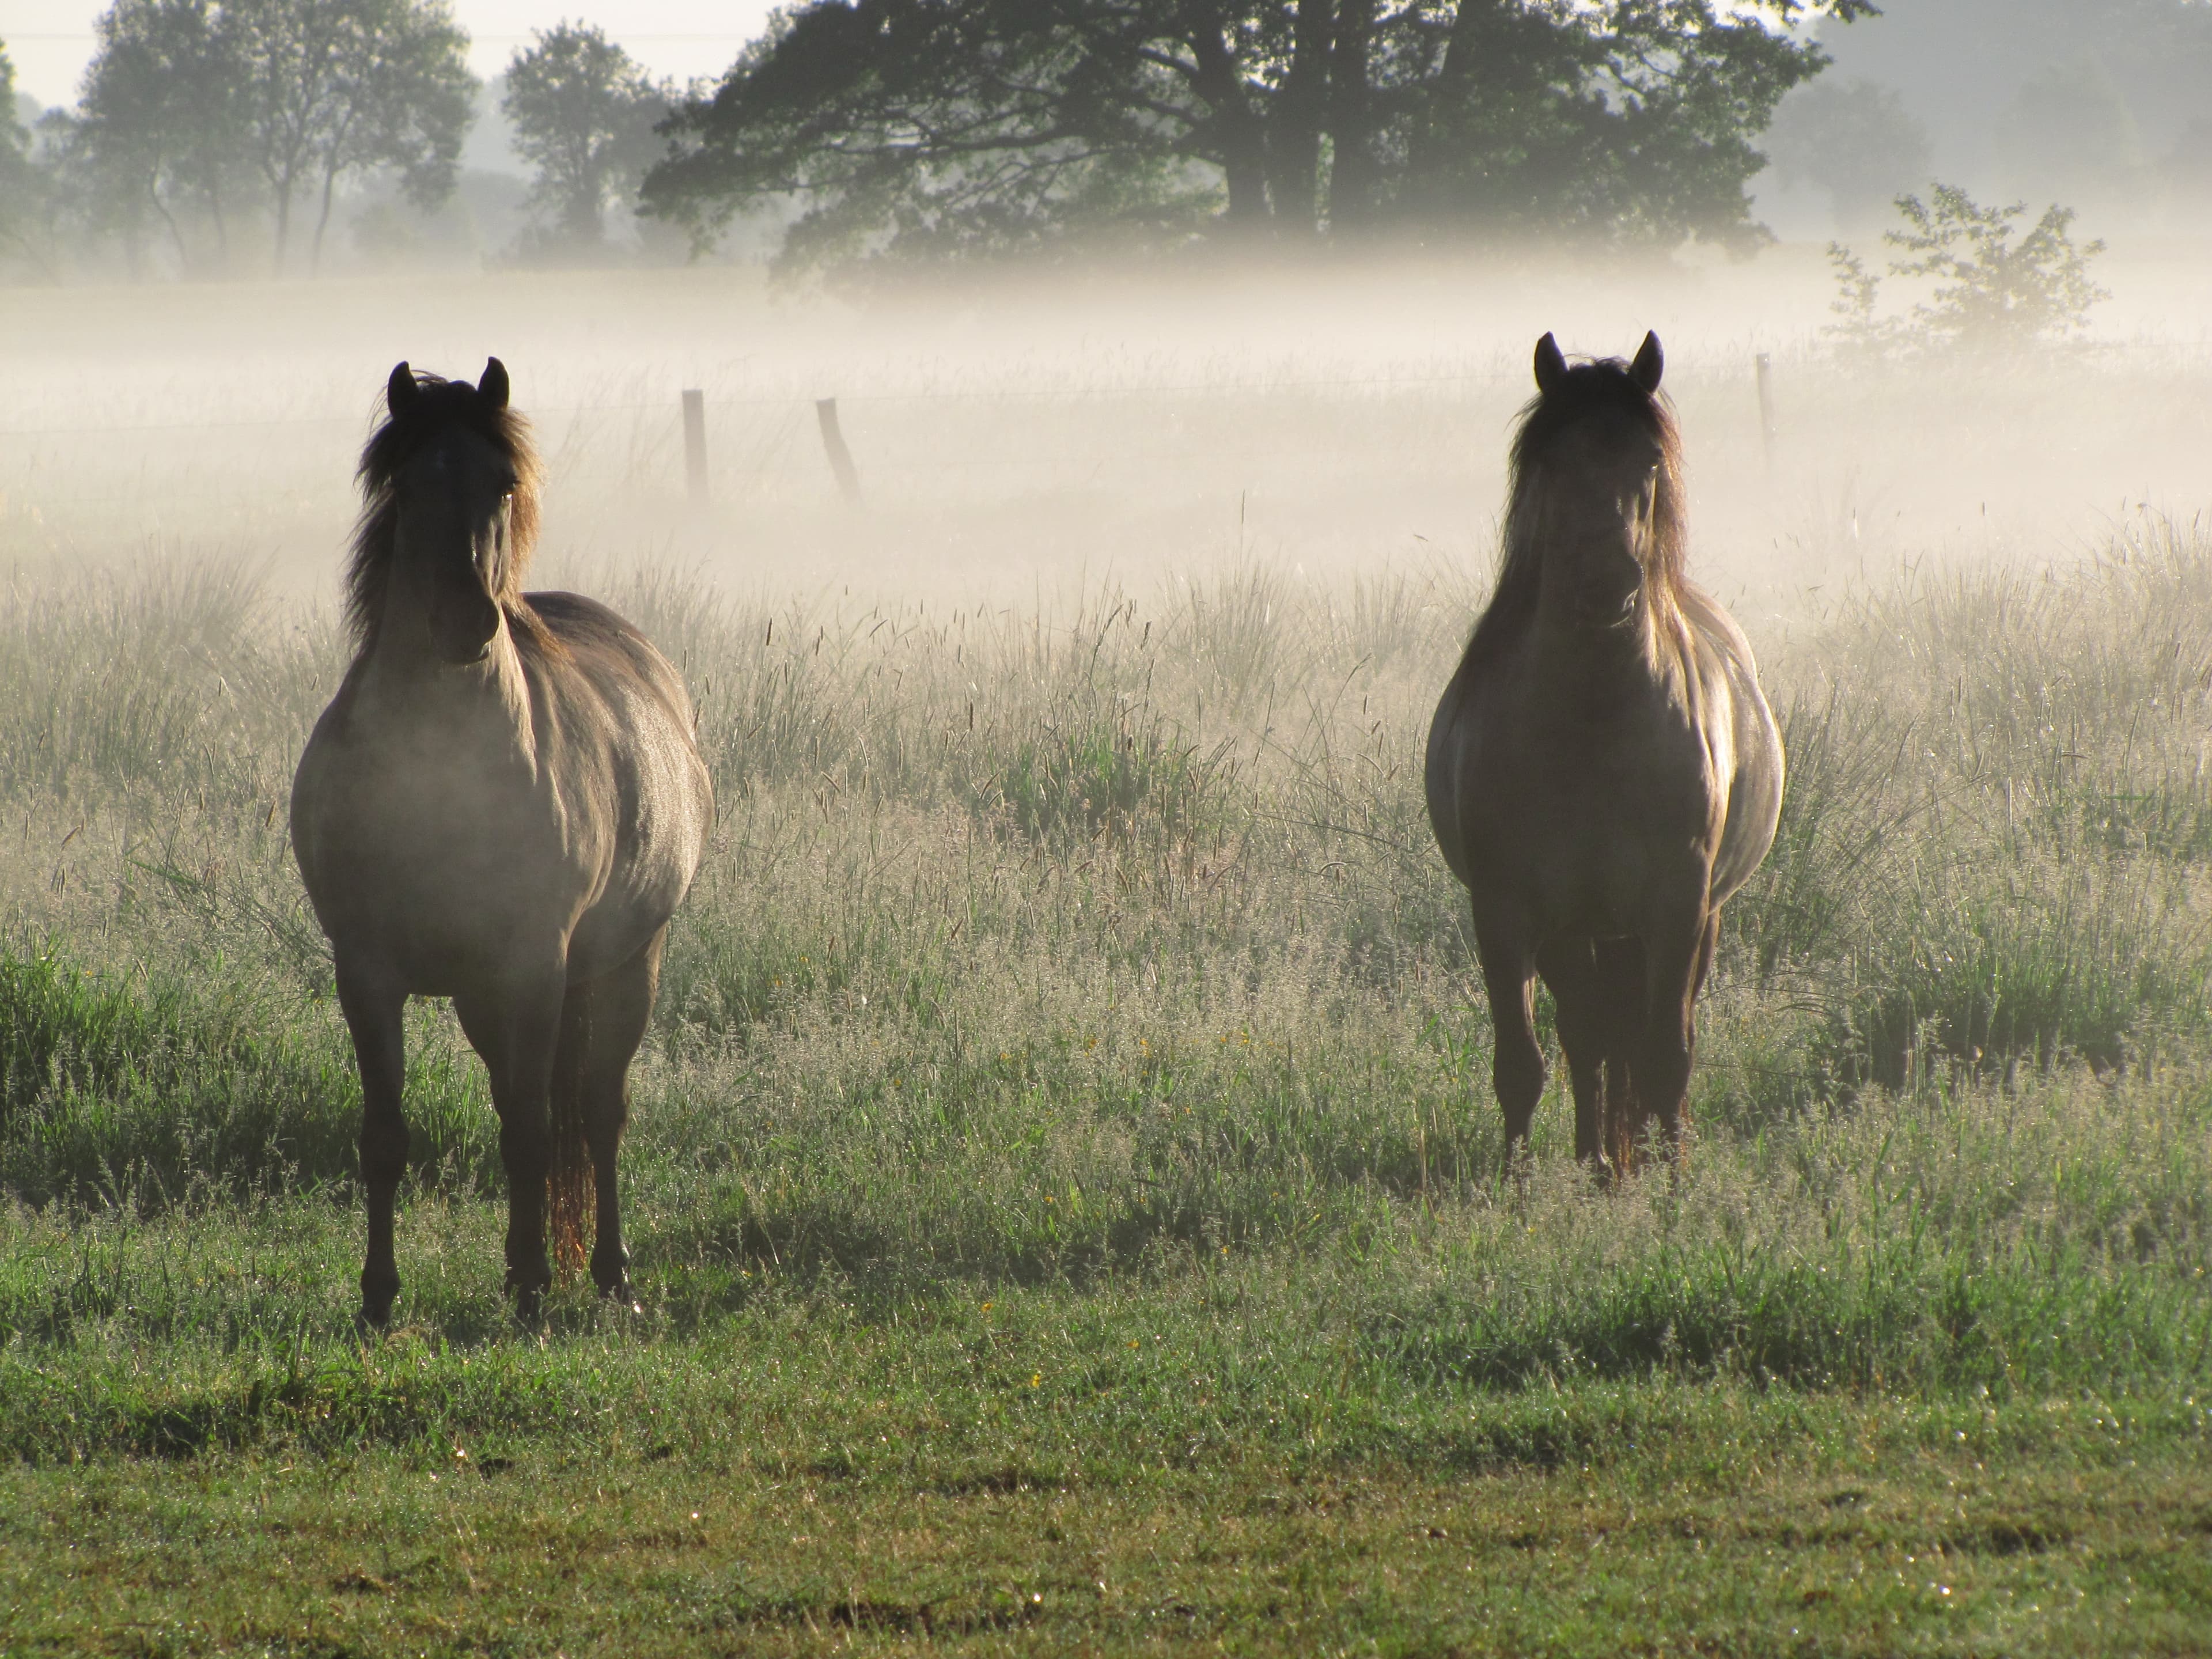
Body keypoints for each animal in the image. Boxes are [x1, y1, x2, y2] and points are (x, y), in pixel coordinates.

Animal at [290, 360, 712, 1327]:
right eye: (408, 485)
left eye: (503, 484)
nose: (466, 624)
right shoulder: (367, 972)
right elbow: (385, 1136)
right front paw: (377, 1300)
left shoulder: (532, 966)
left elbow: (531, 1129)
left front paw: (527, 1286)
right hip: (486, 998)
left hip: (624, 965)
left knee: (597, 1112)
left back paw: (609, 1276)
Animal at [1433, 332, 1778, 1176]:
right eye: (1554, 463)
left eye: (1648, 462)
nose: (1604, 584)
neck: (1591, 724)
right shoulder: (1507, 909)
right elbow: (1522, 1064)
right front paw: (1518, 1186)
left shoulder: (1678, 903)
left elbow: (1666, 1057)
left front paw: (1674, 1183)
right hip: (1576, 928)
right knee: (1587, 1033)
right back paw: (1597, 1161)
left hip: (1689, 920)